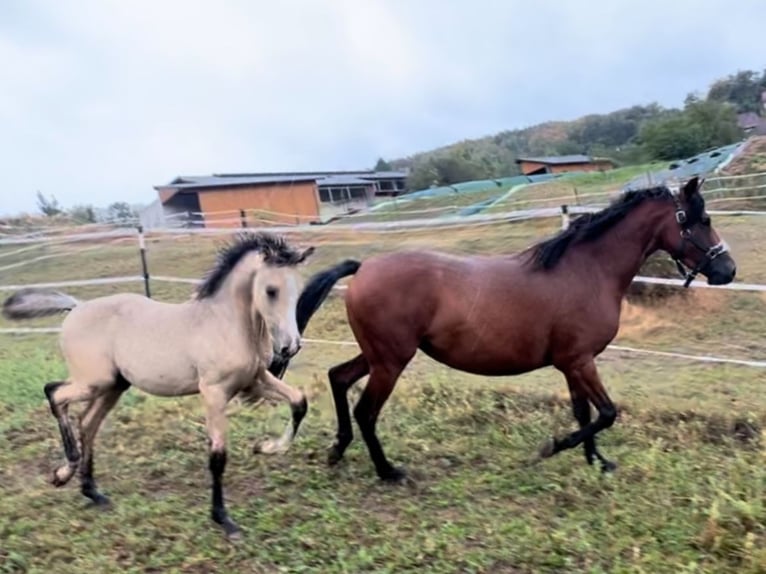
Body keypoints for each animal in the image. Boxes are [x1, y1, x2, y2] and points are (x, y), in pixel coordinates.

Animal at [2, 231, 316, 540]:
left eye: (298, 289)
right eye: (271, 290)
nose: (290, 347)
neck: (226, 324)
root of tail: (76, 308)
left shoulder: (254, 381)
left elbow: (299, 402)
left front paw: (266, 447)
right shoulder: (214, 392)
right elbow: (218, 456)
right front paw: (224, 520)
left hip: (113, 386)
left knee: (87, 423)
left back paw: (92, 491)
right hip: (94, 381)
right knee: (55, 393)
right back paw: (63, 472)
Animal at [288, 178, 736, 484]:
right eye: (702, 219)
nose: (728, 270)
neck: (586, 271)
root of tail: (364, 267)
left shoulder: (572, 363)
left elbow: (585, 412)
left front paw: (596, 461)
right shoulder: (580, 361)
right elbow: (607, 413)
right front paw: (553, 447)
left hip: (379, 355)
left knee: (338, 378)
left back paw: (337, 449)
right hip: (391, 361)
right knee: (366, 411)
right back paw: (388, 471)